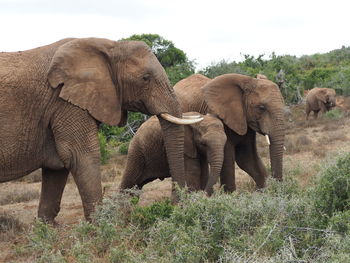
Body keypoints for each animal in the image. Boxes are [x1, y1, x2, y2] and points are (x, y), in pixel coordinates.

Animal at [0, 37, 202, 223]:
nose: (175, 207)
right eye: (145, 78)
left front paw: (46, 227)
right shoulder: (65, 101)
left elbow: (57, 165)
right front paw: (100, 227)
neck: (110, 46)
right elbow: (80, 156)